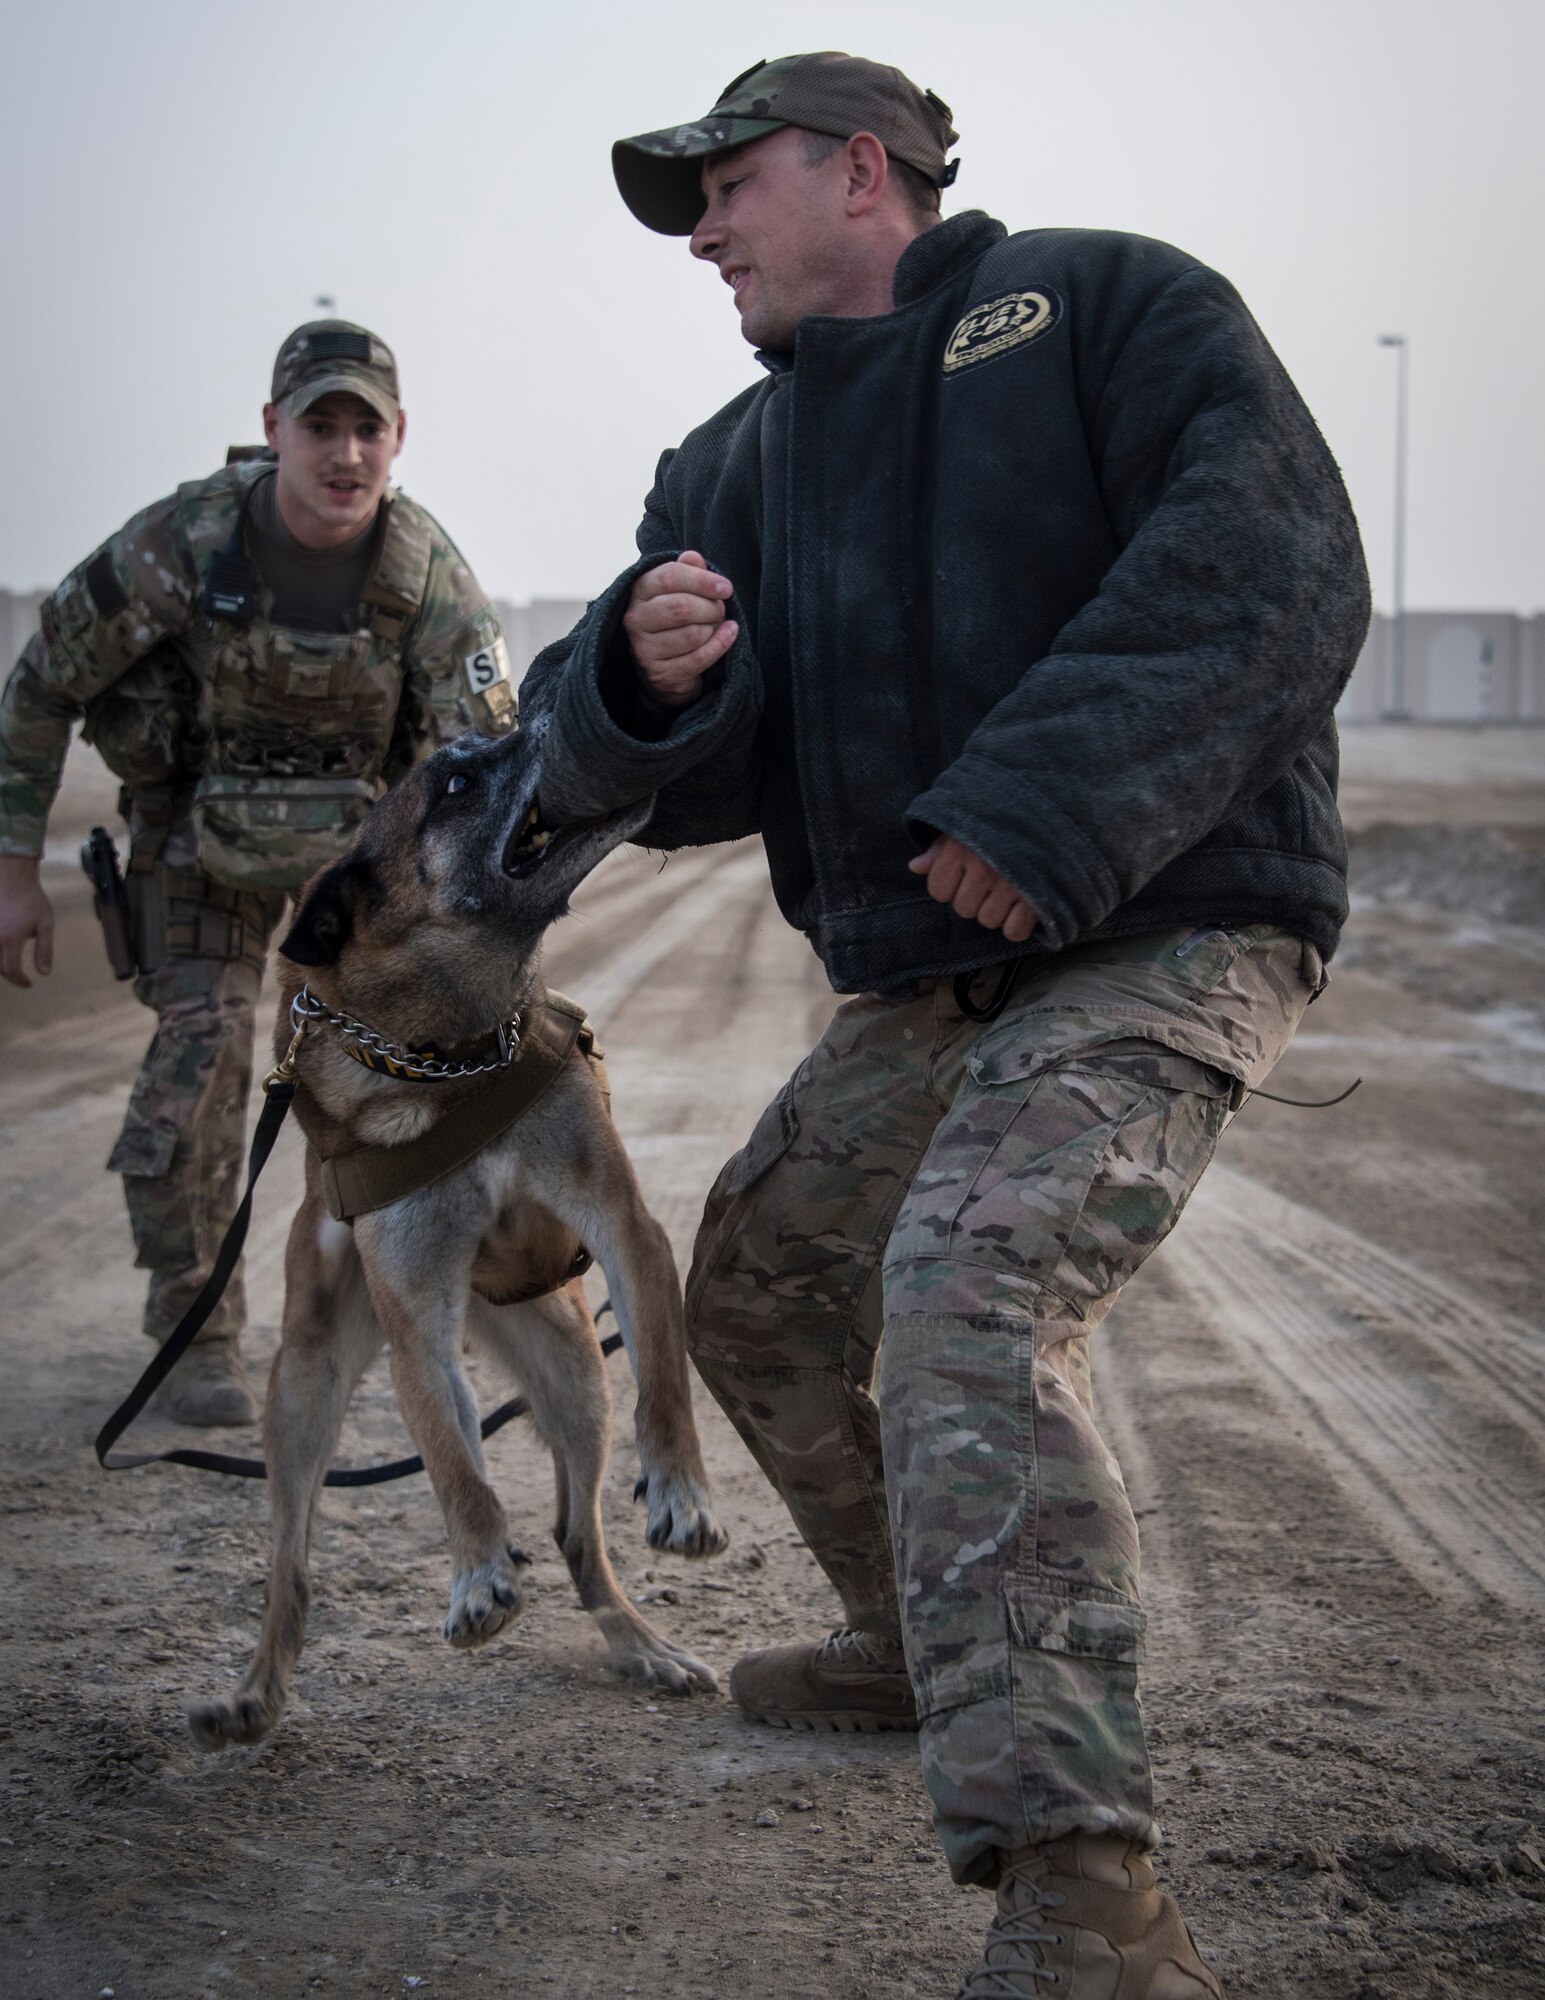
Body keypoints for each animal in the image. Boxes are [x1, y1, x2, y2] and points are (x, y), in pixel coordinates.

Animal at [190, 724, 728, 1752]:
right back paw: (253, 1691)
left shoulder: (629, 1235)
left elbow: (667, 1385)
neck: (455, 1053)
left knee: (579, 1534)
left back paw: (643, 1648)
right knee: (291, 1571)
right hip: (303, 1395)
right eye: (455, 782)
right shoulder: (418, 1331)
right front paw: (477, 1576)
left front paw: (681, 1491)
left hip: (573, 1371)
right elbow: (453, 1470)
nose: (542, 716)